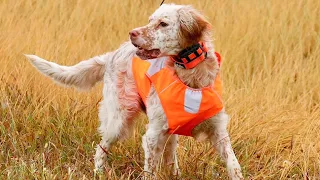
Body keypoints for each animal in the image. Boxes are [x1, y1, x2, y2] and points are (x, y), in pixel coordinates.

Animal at [26, 3, 244, 180]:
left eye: (163, 24)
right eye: (150, 21)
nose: (132, 33)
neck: (191, 75)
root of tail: (112, 55)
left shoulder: (218, 130)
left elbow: (234, 164)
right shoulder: (152, 136)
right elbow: (150, 170)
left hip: (166, 130)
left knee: (170, 156)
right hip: (118, 119)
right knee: (101, 148)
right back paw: (99, 172)